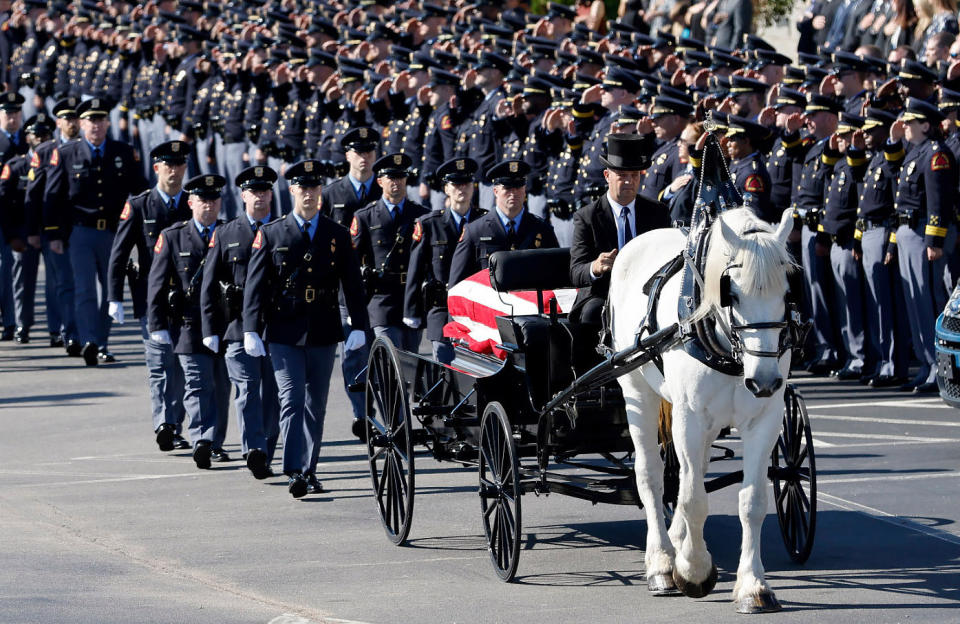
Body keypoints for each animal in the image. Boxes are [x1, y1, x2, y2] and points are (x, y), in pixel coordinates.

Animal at [612, 207, 792, 612]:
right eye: (732, 293)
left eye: (787, 292)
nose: (765, 380)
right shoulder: (689, 417)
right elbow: (695, 498)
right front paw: (693, 570)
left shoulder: (765, 419)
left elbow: (752, 501)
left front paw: (753, 585)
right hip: (637, 393)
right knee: (651, 474)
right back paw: (662, 563)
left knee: (688, 474)